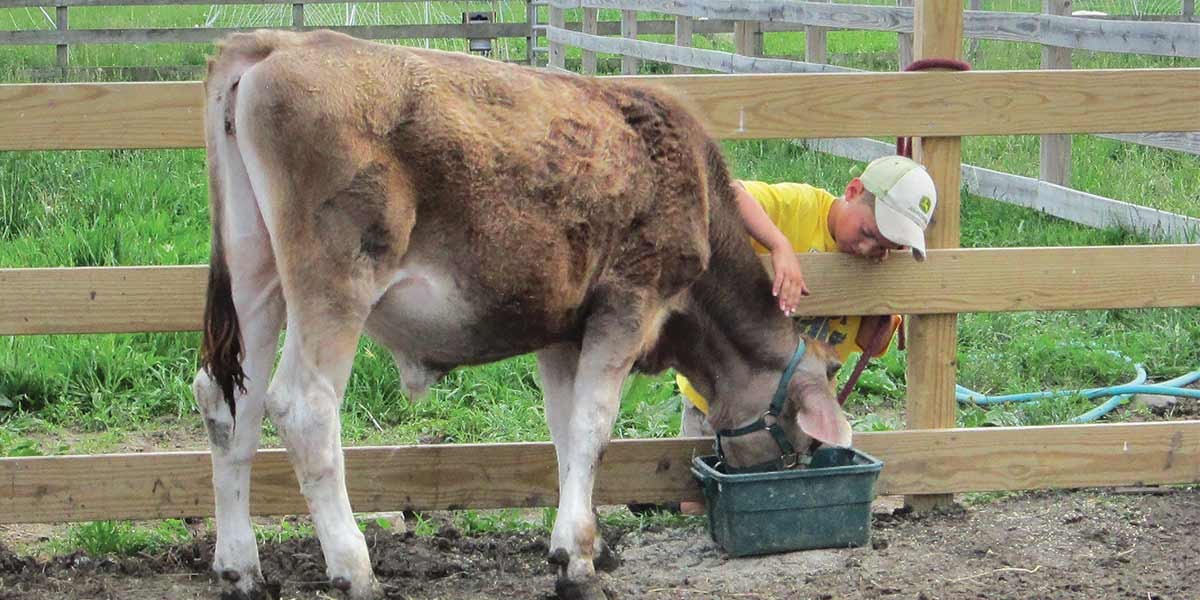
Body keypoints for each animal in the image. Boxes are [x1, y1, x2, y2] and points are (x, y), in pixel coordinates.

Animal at [193, 29, 852, 600]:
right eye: (799, 438)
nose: (792, 478)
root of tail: (281, 43)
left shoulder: (562, 331)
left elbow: (563, 431)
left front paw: (584, 542)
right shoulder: (628, 302)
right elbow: (592, 427)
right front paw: (579, 561)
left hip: (255, 273)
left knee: (227, 402)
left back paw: (241, 568)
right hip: (336, 281)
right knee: (304, 407)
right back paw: (355, 570)